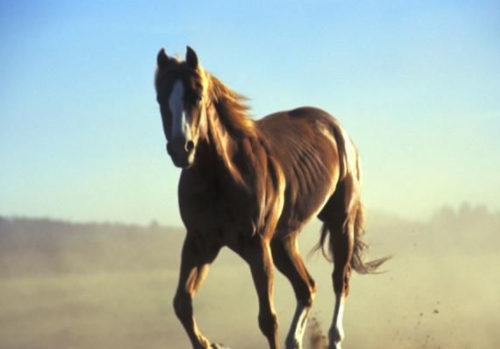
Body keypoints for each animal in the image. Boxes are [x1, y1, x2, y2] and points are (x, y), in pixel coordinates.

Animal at [154, 46, 388, 348]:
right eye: (161, 98)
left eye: (197, 96)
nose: (181, 149)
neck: (223, 177)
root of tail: (336, 129)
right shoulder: (200, 243)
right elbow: (182, 303)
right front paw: (210, 343)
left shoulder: (257, 246)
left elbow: (267, 319)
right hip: (283, 241)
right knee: (307, 288)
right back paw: (296, 339)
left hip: (339, 223)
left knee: (341, 280)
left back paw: (334, 337)